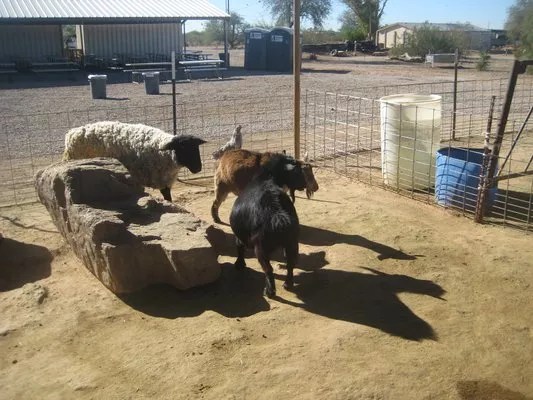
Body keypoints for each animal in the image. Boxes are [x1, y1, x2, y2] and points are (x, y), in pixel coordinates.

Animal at [229, 153, 305, 298]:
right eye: (298, 171)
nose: (304, 184)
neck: (264, 177)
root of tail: (277, 212)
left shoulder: (240, 236)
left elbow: (239, 247)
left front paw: (239, 265)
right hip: (292, 242)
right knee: (290, 263)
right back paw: (288, 284)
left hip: (261, 247)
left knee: (268, 269)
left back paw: (269, 292)